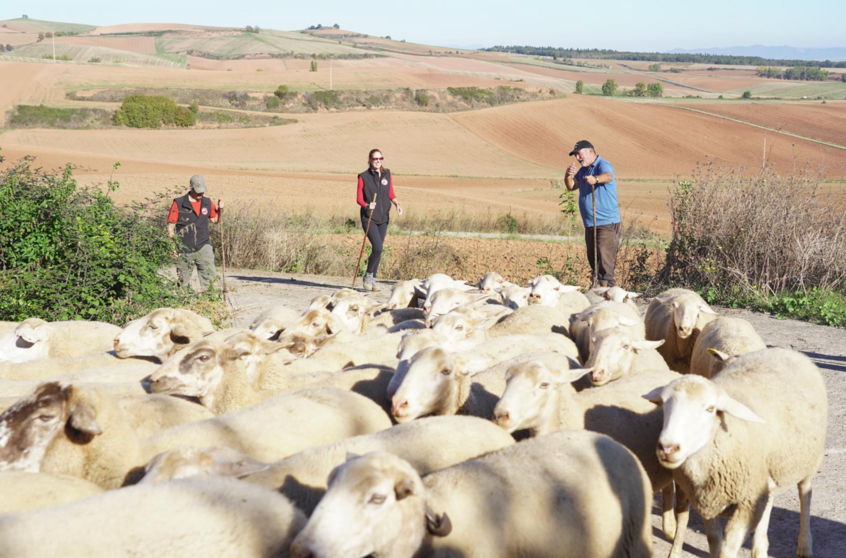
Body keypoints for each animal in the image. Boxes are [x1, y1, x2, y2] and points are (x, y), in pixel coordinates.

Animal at [648, 350, 828, 558]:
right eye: (663, 405)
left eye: (710, 409)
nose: (668, 448)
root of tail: (787, 351)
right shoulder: (708, 499)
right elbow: (713, 539)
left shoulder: (747, 503)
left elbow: (727, 548)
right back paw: (759, 548)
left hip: (808, 463)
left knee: (805, 494)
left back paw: (804, 546)